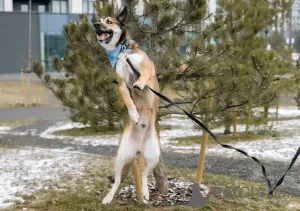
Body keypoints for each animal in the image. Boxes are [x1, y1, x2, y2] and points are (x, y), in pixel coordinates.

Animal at [92, 6, 161, 204]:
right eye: (99, 20)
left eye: (109, 21)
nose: (96, 24)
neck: (122, 52)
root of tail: (138, 148)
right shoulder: (122, 84)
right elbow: (129, 101)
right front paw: (134, 114)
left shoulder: (148, 68)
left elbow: (143, 76)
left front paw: (139, 84)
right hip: (121, 157)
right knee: (117, 181)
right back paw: (109, 197)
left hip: (154, 156)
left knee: (144, 175)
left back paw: (145, 192)